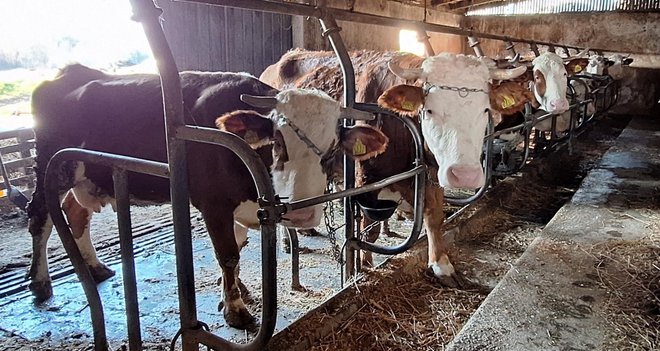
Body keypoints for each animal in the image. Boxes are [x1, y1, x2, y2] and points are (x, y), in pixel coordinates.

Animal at [27, 63, 386, 330]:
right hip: (51, 166)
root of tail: (66, 74)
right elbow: (228, 254)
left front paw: (235, 291)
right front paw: (235, 310)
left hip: (86, 174)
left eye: (333, 149)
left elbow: (237, 247)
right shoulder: (213, 203)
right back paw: (41, 282)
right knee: (41, 219)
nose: (299, 216)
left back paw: (95, 266)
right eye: (277, 140)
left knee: (76, 212)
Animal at [260, 49, 524, 286]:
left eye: (485, 109)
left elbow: (434, 218)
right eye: (429, 110)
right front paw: (364, 266)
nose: (465, 176)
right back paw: (289, 240)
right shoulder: (366, 182)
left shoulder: (431, 174)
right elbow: (369, 230)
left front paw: (442, 265)